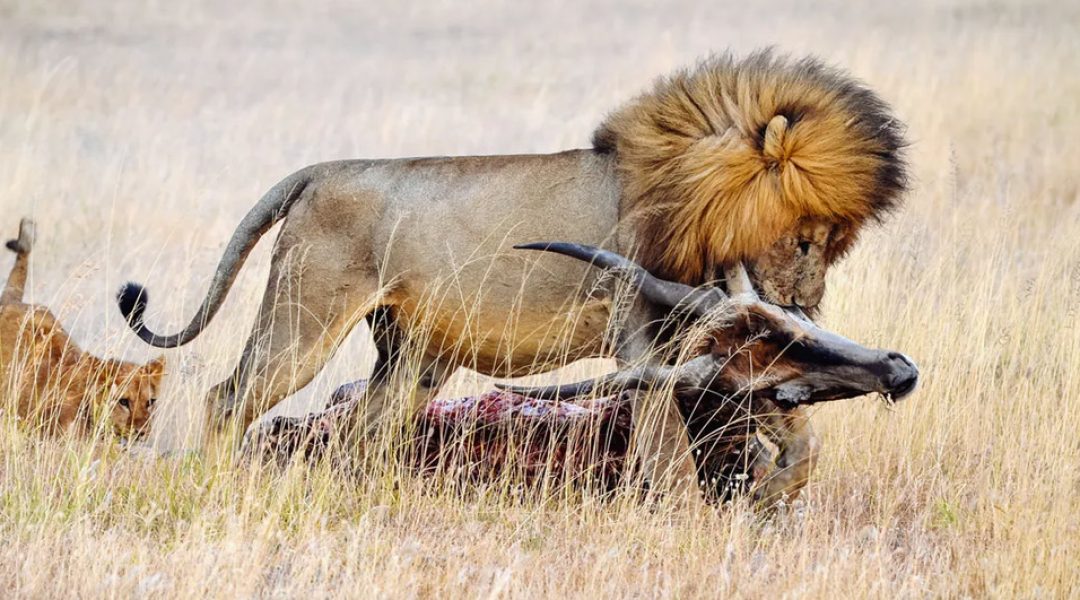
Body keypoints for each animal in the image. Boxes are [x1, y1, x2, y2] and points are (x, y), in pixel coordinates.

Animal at [117, 50, 908, 503]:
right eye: (804, 240)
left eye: (831, 242)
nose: (805, 304)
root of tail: (316, 172)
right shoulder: (645, 343)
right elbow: (668, 450)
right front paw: (686, 511)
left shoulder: (721, 346)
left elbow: (795, 430)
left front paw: (775, 487)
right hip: (303, 321)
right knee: (228, 399)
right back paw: (216, 484)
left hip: (414, 354)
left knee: (366, 427)